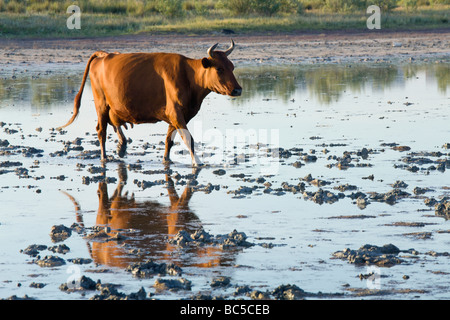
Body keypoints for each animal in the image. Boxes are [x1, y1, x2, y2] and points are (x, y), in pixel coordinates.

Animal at [60, 40, 243, 166]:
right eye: (219, 69)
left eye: (232, 67)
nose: (238, 90)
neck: (188, 76)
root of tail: (105, 55)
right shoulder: (176, 113)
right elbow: (188, 138)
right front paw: (197, 162)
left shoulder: (177, 116)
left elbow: (169, 140)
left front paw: (166, 160)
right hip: (101, 104)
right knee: (101, 130)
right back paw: (105, 156)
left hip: (114, 106)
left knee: (115, 123)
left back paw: (122, 146)